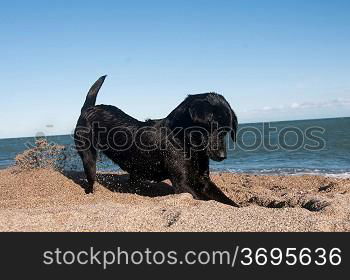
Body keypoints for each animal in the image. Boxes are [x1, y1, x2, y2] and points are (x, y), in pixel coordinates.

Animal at [75, 75, 239, 207]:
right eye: (213, 126)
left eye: (226, 131)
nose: (223, 156)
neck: (182, 139)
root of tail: (88, 108)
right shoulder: (182, 184)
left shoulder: (203, 180)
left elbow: (227, 201)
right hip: (88, 157)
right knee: (90, 180)